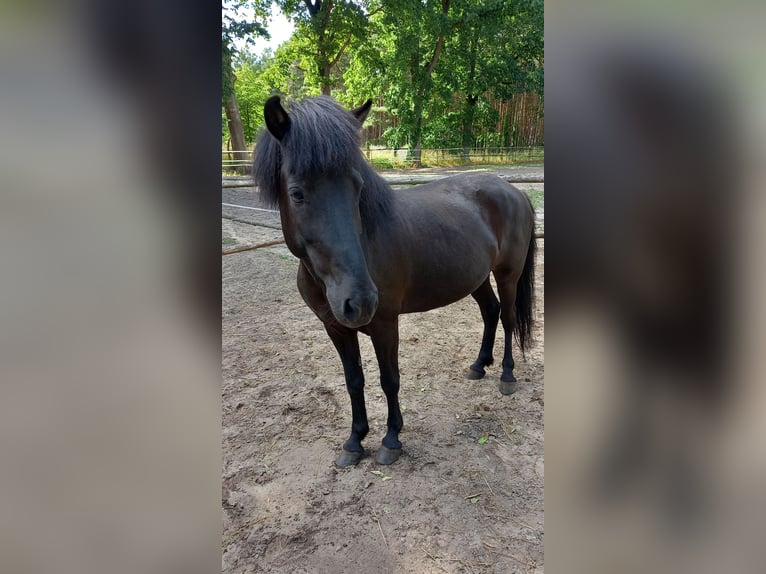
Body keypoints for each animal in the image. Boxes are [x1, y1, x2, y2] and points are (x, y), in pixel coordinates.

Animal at [255, 95, 536, 468]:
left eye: (357, 186)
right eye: (297, 193)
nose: (360, 300)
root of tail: (514, 191)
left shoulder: (385, 324)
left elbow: (389, 380)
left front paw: (391, 439)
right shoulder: (335, 327)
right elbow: (354, 380)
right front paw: (354, 441)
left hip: (507, 273)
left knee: (507, 317)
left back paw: (506, 376)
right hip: (476, 277)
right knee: (490, 311)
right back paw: (478, 366)